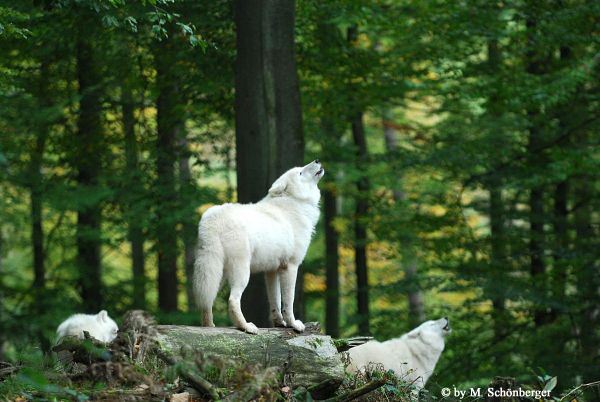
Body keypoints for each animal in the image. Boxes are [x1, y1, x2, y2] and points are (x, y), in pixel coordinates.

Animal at [192, 159, 324, 332]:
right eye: (300, 172)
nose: (317, 160)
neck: (294, 204)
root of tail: (212, 217)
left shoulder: (272, 271)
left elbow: (275, 302)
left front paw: (279, 323)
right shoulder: (290, 267)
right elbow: (289, 302)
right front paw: (293, 324)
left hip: (216, 274)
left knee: (207, 299)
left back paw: (209, 326)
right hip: (241, 273)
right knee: (232, 300)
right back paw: (246, 327)